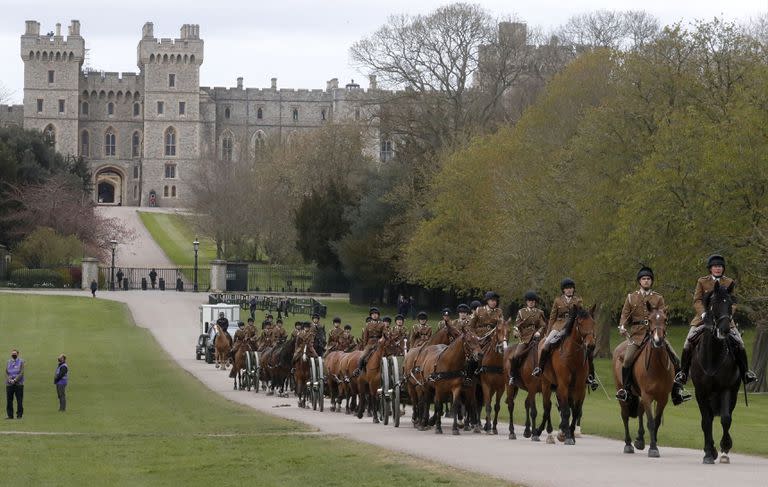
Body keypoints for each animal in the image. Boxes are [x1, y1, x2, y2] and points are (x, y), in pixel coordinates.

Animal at [536, 306, 596, 448]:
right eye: (580, 323)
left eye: (593, 323)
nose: (591, 345)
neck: (572, 356)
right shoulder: (562, 386)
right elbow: (566, 411)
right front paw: (567, 436)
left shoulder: (580, 388)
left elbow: (575, 411)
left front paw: (571, 434)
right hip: (546, 384)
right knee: (548, 407)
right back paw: (546, 434)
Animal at [616, 304, 676, 458]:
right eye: (649, 320)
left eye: (665, 319)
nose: (658, 340)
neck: (657, 365)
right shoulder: (648, 396)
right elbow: (651, 422)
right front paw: (653, 448)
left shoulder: (662, 398)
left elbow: (656, 421)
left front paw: (652, 444)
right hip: (623, 394)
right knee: (625, 415)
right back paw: (628, 444)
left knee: (639, 410)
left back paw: (639, 440)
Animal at [692, 280, 740, 464]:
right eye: (714, 303)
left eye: (730, 303)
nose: (725, 330)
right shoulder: (701, 392)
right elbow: (706, 422)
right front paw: (708, 453)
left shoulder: (726, 388)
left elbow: (726, 419)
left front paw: (725, 449)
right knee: (709, 419)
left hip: (733, 393)